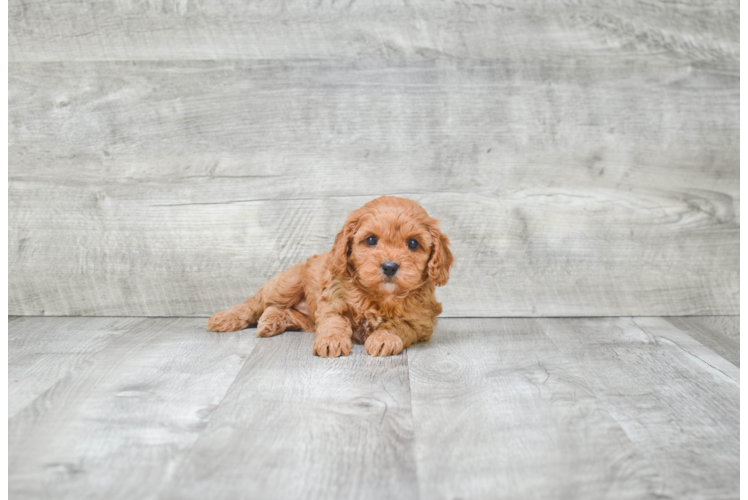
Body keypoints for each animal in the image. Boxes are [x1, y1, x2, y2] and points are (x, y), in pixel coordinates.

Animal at [210, 194, 456, 356]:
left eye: (413, 243)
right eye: (371, 240)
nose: (389, 267)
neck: (380, 296)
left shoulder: (420, 321)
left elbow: (398, 326)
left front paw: (384, 339)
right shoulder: (332, 301)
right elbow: (334, 323)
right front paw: (331, 343)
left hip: (304, 318)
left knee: (276, 309)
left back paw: (270, 323)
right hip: (287, 283)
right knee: (257, 303)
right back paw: (225, 318)